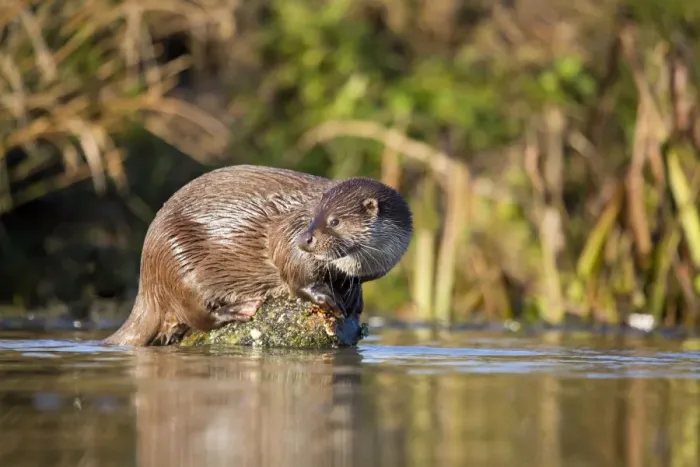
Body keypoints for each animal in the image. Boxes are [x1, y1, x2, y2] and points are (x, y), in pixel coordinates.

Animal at [103, 164, 413, 347]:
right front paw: (326, 298)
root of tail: (147, 273)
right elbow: (291, 266)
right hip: (177, 258)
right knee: (196, 314)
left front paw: (354, 300)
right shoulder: (287, 230)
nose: (306, 238)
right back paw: (241, 308)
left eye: (334, 220)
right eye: (312, 217)